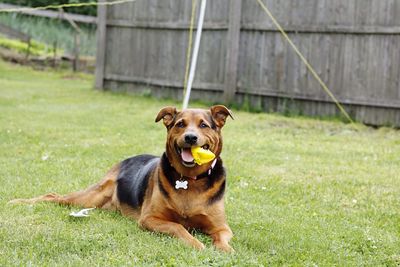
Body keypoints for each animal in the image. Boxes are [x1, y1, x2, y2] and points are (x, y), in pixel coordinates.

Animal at [11, 105, 234, 253]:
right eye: (180, 124)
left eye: (204, 125)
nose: (190, 138)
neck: (190, 178)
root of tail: (124, 161)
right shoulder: (149, 219)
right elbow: (178, 227)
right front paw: (196, 243)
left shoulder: (221, 227)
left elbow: (222, 238)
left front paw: (226, 250)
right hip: (89, 197)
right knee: (53, 195)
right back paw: (18, 201)